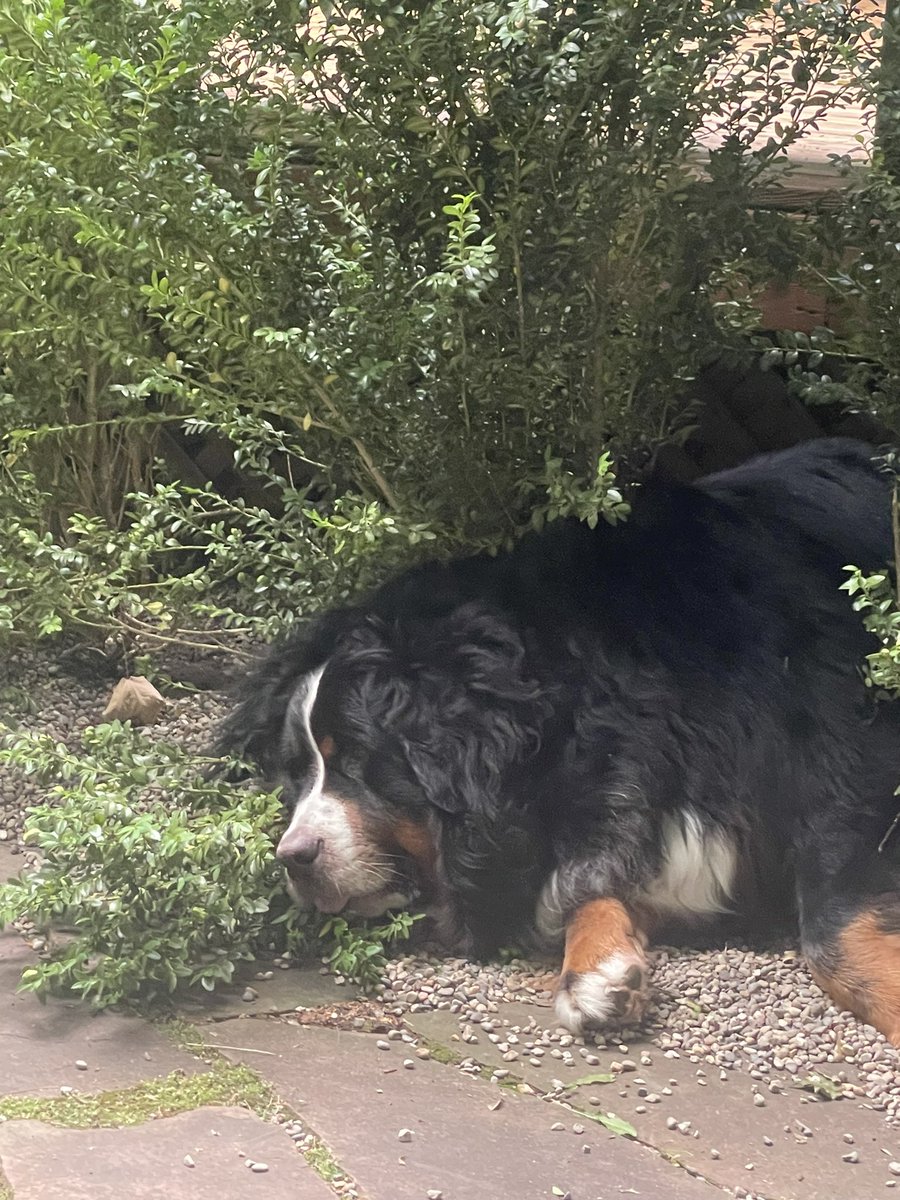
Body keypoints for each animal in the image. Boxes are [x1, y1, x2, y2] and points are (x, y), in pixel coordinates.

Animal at [218, 439, 900, 1041]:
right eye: (296, 776)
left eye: (360, 761)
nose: (292, 856)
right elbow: (591, 880)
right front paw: (597, 969)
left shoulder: (849, 759)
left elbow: (834, 927)